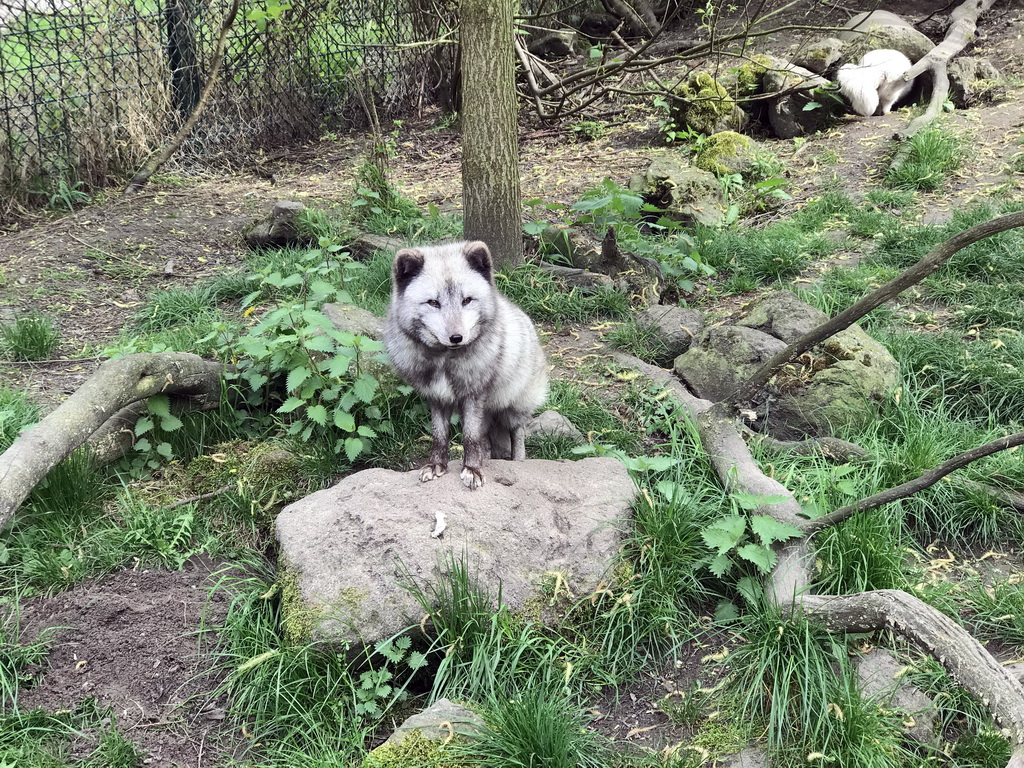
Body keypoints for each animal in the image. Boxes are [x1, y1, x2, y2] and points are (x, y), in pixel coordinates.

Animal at [385, 241, 548, 493]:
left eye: (467, 300)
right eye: (433, 302)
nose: (456, 337)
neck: (445, 361)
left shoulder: (473, 395)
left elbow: (470, 437)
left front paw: (472, 470)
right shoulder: (437, 397)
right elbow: (439, 435)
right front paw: (436, 466)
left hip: (513, 406)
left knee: (517, 433)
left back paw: (517, 462)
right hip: (486, 415)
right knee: (486, 440)